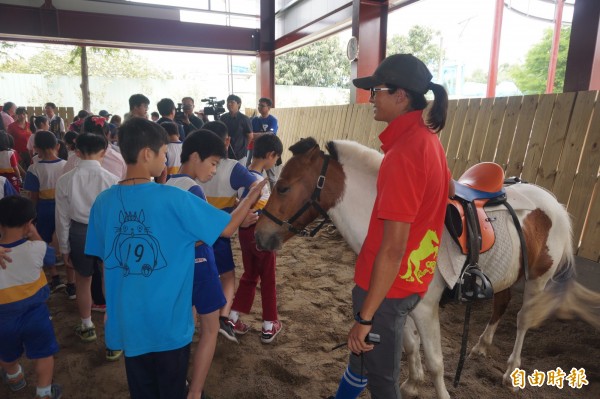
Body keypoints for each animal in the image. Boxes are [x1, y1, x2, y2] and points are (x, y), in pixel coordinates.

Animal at [253, 138, 600, 399]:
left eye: (283, 188)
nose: (260, 235)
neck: (397, 227)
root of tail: (551, 202)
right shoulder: (396, 303)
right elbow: (410, 345)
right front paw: (412, 383)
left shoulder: (425, 308)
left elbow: (435, 361)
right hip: (507, 274)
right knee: (501, 304)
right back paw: (481, 346)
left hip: (538, 278)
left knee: (524, 319)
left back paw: (512, 370)